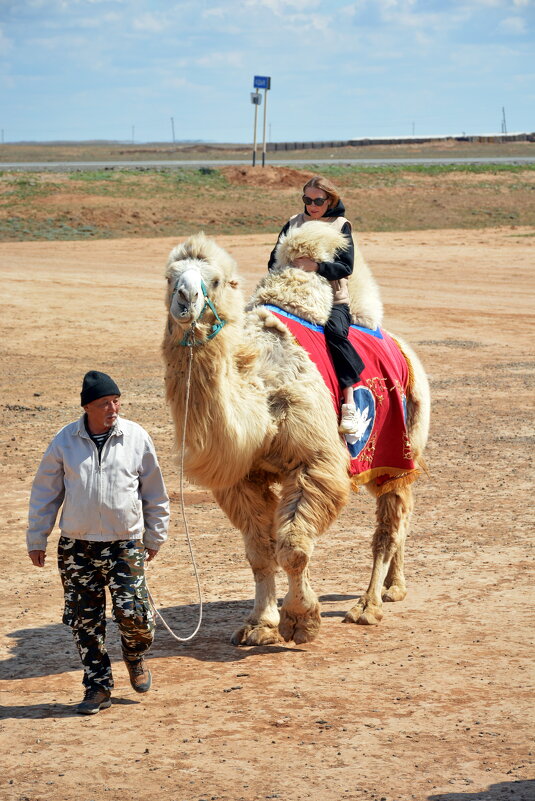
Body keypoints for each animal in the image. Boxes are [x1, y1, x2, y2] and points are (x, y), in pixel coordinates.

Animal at [163, 225, 432, 644]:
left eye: (217, 280)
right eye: (169, 278)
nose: (185, 299)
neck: (259, 401)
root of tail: (401, 346)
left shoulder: (313, 462)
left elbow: (293, 548)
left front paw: (300, 621)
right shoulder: (243, 477)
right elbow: (260, 552)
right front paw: (259, 624)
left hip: (398, 447)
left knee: (389, 525)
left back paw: (368, 606)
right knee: (402, 513)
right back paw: (394, 588)